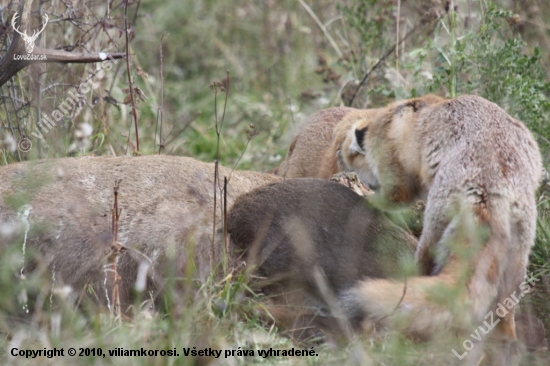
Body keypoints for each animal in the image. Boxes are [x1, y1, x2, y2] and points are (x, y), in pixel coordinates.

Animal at [334, 94, 544, 364]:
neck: (384, 119)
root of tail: (488, 191)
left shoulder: (396, 177)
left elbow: (391, 198)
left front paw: (363, 196)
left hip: (431, 234)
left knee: (420, 276)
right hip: (516, 267)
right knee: (504, 326)